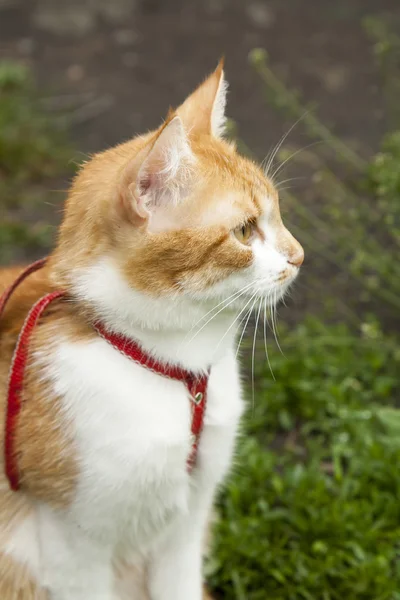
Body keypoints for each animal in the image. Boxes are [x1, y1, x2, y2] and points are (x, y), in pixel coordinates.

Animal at [0, 57, 304, 600]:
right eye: (245, 231)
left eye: (278, 215)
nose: (300, 256)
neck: (173, 370)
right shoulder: (74, 544)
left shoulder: (189, 521)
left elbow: (180, 584)